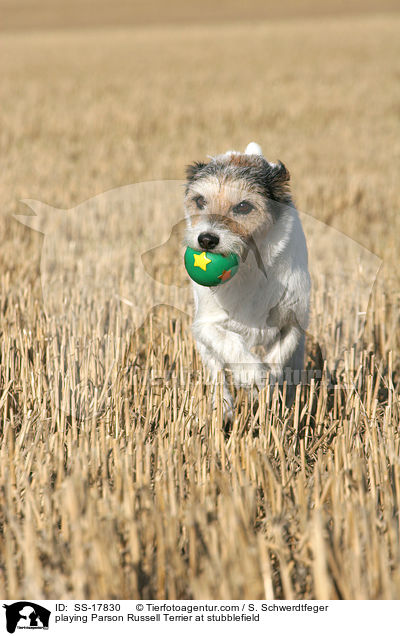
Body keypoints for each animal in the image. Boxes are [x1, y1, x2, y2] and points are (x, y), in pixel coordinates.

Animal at [183, 142, 310, 414]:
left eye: (243, 206)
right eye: (200, 200)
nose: (206, 239)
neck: (250, 268)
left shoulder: (293, 321)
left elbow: (278, 357)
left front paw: (266, 386)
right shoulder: (205, 324)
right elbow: (229, 341)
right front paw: (251, 375)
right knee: (216, 371)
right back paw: (223, 408)